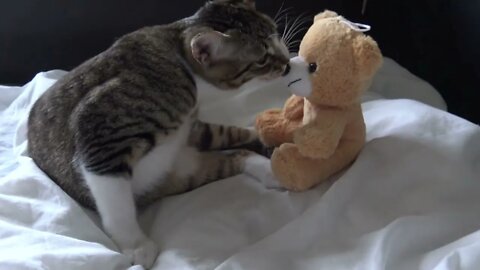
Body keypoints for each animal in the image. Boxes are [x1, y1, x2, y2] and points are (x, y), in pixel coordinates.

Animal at [26, 0, 286, 268]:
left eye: (277, 34)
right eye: (262, 59)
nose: (287, 64)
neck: (176, 51)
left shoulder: (191, 125)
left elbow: (229, 133)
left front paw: (267, 131)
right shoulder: (98, 129)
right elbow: (115, 199)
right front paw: (135, 245)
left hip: (186, 166)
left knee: (232, 150)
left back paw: (272, 167)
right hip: (179, 172)